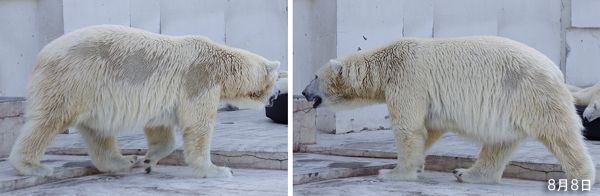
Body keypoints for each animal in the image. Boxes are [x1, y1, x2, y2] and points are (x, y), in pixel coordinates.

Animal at [9, 24, 282, 178]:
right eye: (278, 78)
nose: (278, 94)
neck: (222, 63)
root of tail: (42, 55)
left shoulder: (164, 96)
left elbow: (160, 126)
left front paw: (149, 160)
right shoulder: (199, 77)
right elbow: (198, 126)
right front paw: (218, 170)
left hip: (91, 93)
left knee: (98, 131)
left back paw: (122, 161)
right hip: (73, 79)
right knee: (48, 120)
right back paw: (32, 166)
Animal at [302, 36, 596, 184]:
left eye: (315, 76)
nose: (303, 93)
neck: (387, 62)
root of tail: (556, 70)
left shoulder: (408, 77)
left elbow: (408, 127)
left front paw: (392, 173)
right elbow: (428, 128)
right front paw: (416, 164)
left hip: (531, 92)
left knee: (560, 133)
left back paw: (580, 178)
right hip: (509, 104)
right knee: (499, 142)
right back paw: (467, 174)